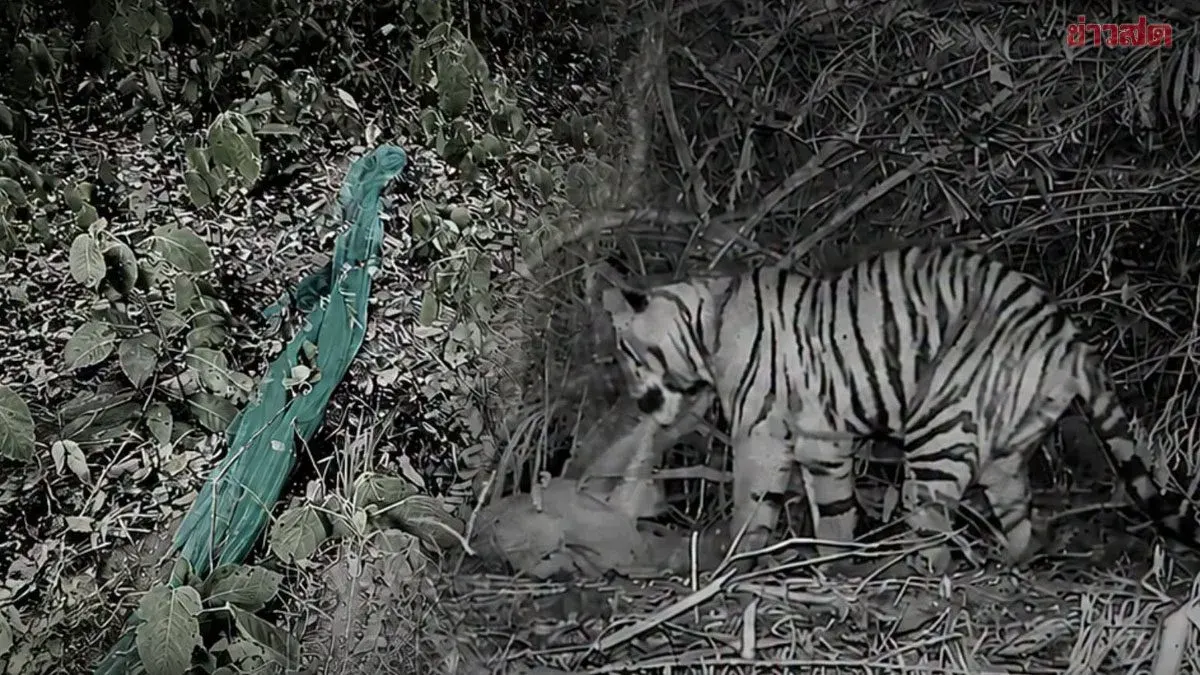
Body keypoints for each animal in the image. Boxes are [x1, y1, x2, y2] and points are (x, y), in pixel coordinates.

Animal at [600, 244, 1199, 572]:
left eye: (627, 352)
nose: (640, 400)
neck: (707, 325)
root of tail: (1069, 336)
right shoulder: (823, 438)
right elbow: (835, 508)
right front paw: (833, 562)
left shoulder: (762, 433)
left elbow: (751, 505)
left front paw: (735, 560)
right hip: (1005, 448)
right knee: (1019, 518)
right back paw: (1006, 562)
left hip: (938, 425)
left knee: (933, 530)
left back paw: (906, 576)